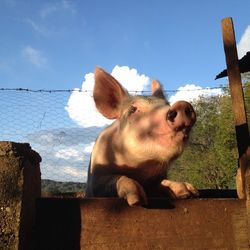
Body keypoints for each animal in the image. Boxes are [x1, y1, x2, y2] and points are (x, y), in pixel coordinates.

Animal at [86, 67, 199, 206]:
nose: (182, 104)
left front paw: (189, 192)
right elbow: (114, 179)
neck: (140, 171)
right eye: (133, 110)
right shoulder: (95, 180)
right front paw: (137, 199)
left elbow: (161, 183)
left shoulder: (158, 178)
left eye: (167, 104)